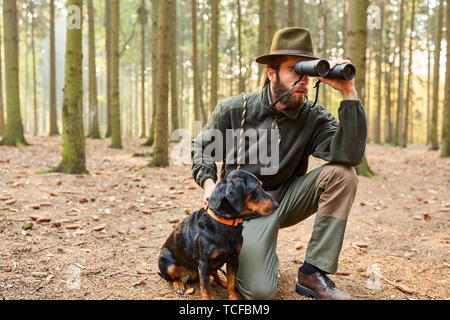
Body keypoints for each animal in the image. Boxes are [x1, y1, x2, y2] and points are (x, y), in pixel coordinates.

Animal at [158, 170, 278, 300]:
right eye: (256, 188)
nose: (277, 204)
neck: (225, 222)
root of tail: (189, 275)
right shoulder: (204, 263)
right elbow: (205, 289)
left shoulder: (234, 258)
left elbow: (232, 282)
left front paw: (233, 297)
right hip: (167, 261)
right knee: (173, 278)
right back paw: (179, 285)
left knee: (215, 276)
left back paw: (222, 282)